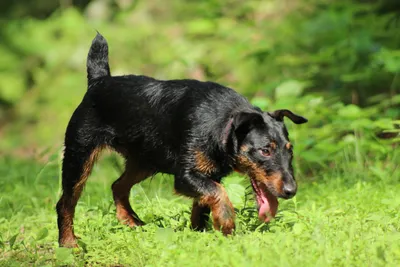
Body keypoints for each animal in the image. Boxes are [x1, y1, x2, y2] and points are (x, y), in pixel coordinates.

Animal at [55, 33, 306, 249]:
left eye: (290, 151)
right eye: (265, 151)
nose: (291, 191)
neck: (221, 124)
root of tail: (99, 81)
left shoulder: (208, 175)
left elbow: (202, 206)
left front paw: (201, 235)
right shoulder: (186, 176)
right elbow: (219, 194)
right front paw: (227, 226)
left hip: (145, 160)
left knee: (118, 186)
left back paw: (132, 222)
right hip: (79, 157)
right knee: (66, 203)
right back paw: (69, 244)